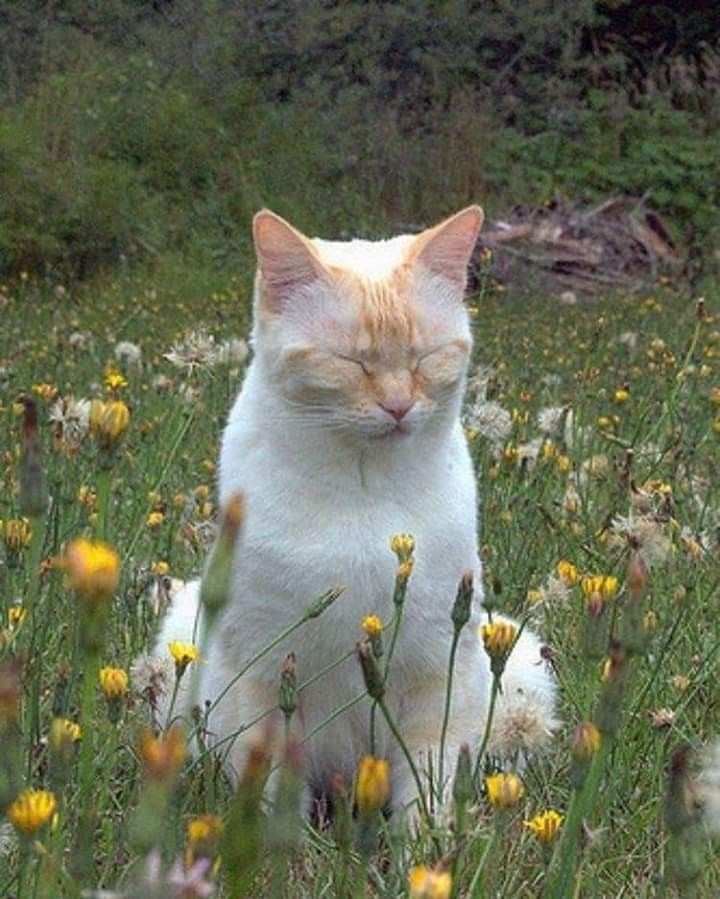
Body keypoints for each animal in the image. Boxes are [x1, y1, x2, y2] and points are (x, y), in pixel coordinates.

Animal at [153, 207, 556, 820]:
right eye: (351, 362)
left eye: (423, 358)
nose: (398, 406)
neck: (365, 496)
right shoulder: (267, 679)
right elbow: (270, 796)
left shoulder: (436, 678)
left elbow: (428, 793)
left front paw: (430, 847)